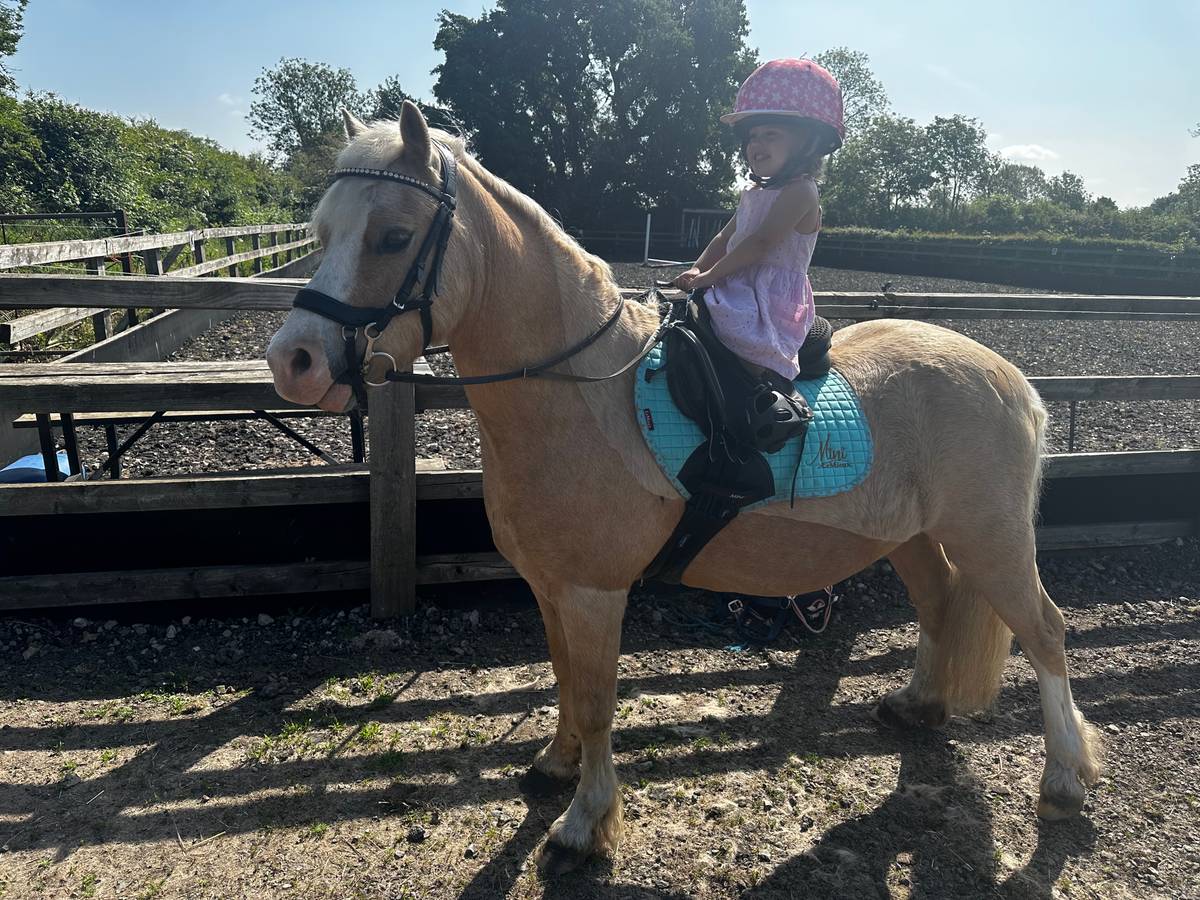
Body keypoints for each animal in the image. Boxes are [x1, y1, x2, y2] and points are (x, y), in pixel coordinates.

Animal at [266, 101, 1101, 874]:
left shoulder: (596, 591)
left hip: (990, 539)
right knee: (940, 607)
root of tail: (1011, 377)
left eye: (393, 237)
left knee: (1046, 632)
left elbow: (596, 702)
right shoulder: (551, 586)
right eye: (321, 232)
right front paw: (555, 766)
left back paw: (1064, 779)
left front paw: (585, 824)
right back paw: (920, 706)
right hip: (916, 538)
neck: (578, 393)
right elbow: (564, 678)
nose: (293, 362)